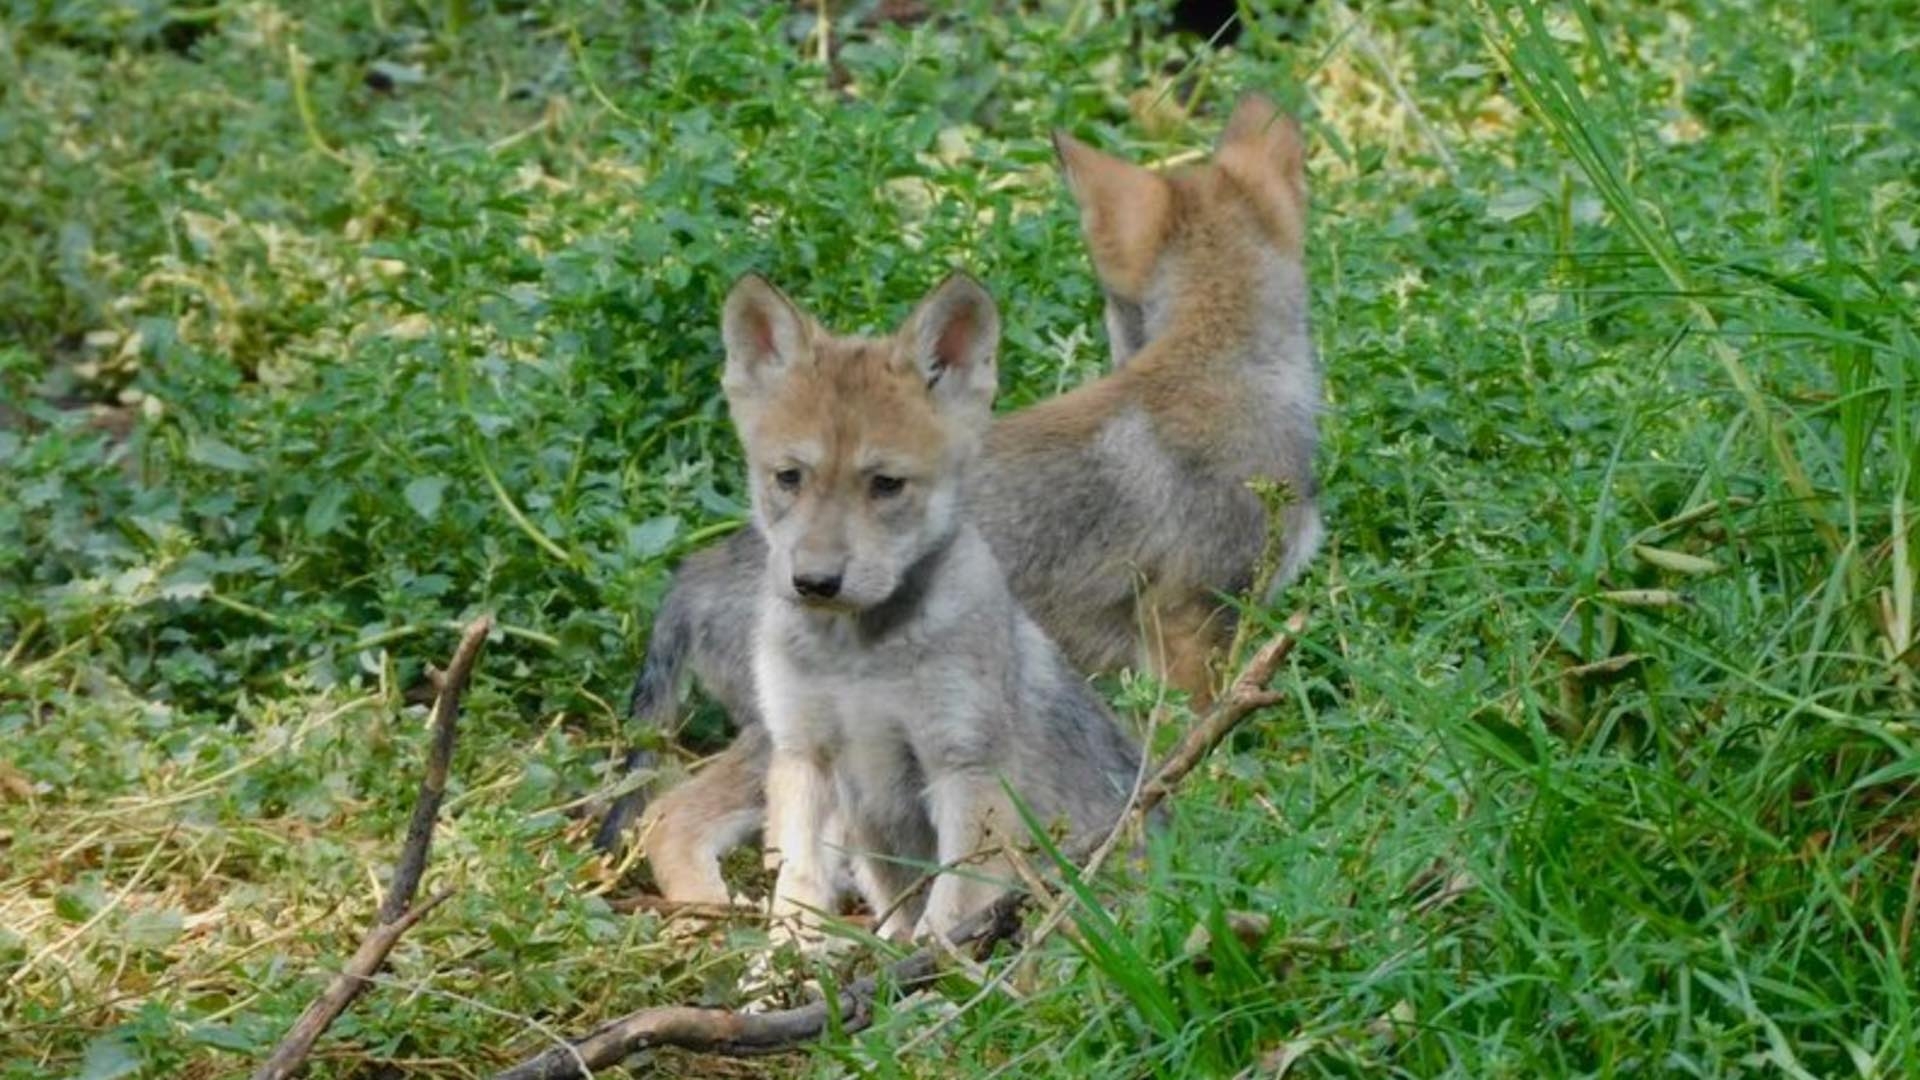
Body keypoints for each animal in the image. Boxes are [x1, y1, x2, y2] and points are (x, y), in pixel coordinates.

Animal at [723, 271, 1144, 940]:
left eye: (886, 485)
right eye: (788, 477)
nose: (815, 581)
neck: (858, 659)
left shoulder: (964, 770)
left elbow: (948, 912)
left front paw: (930, 971)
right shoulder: (804, 755)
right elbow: (798, 896)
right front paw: (780, 967)